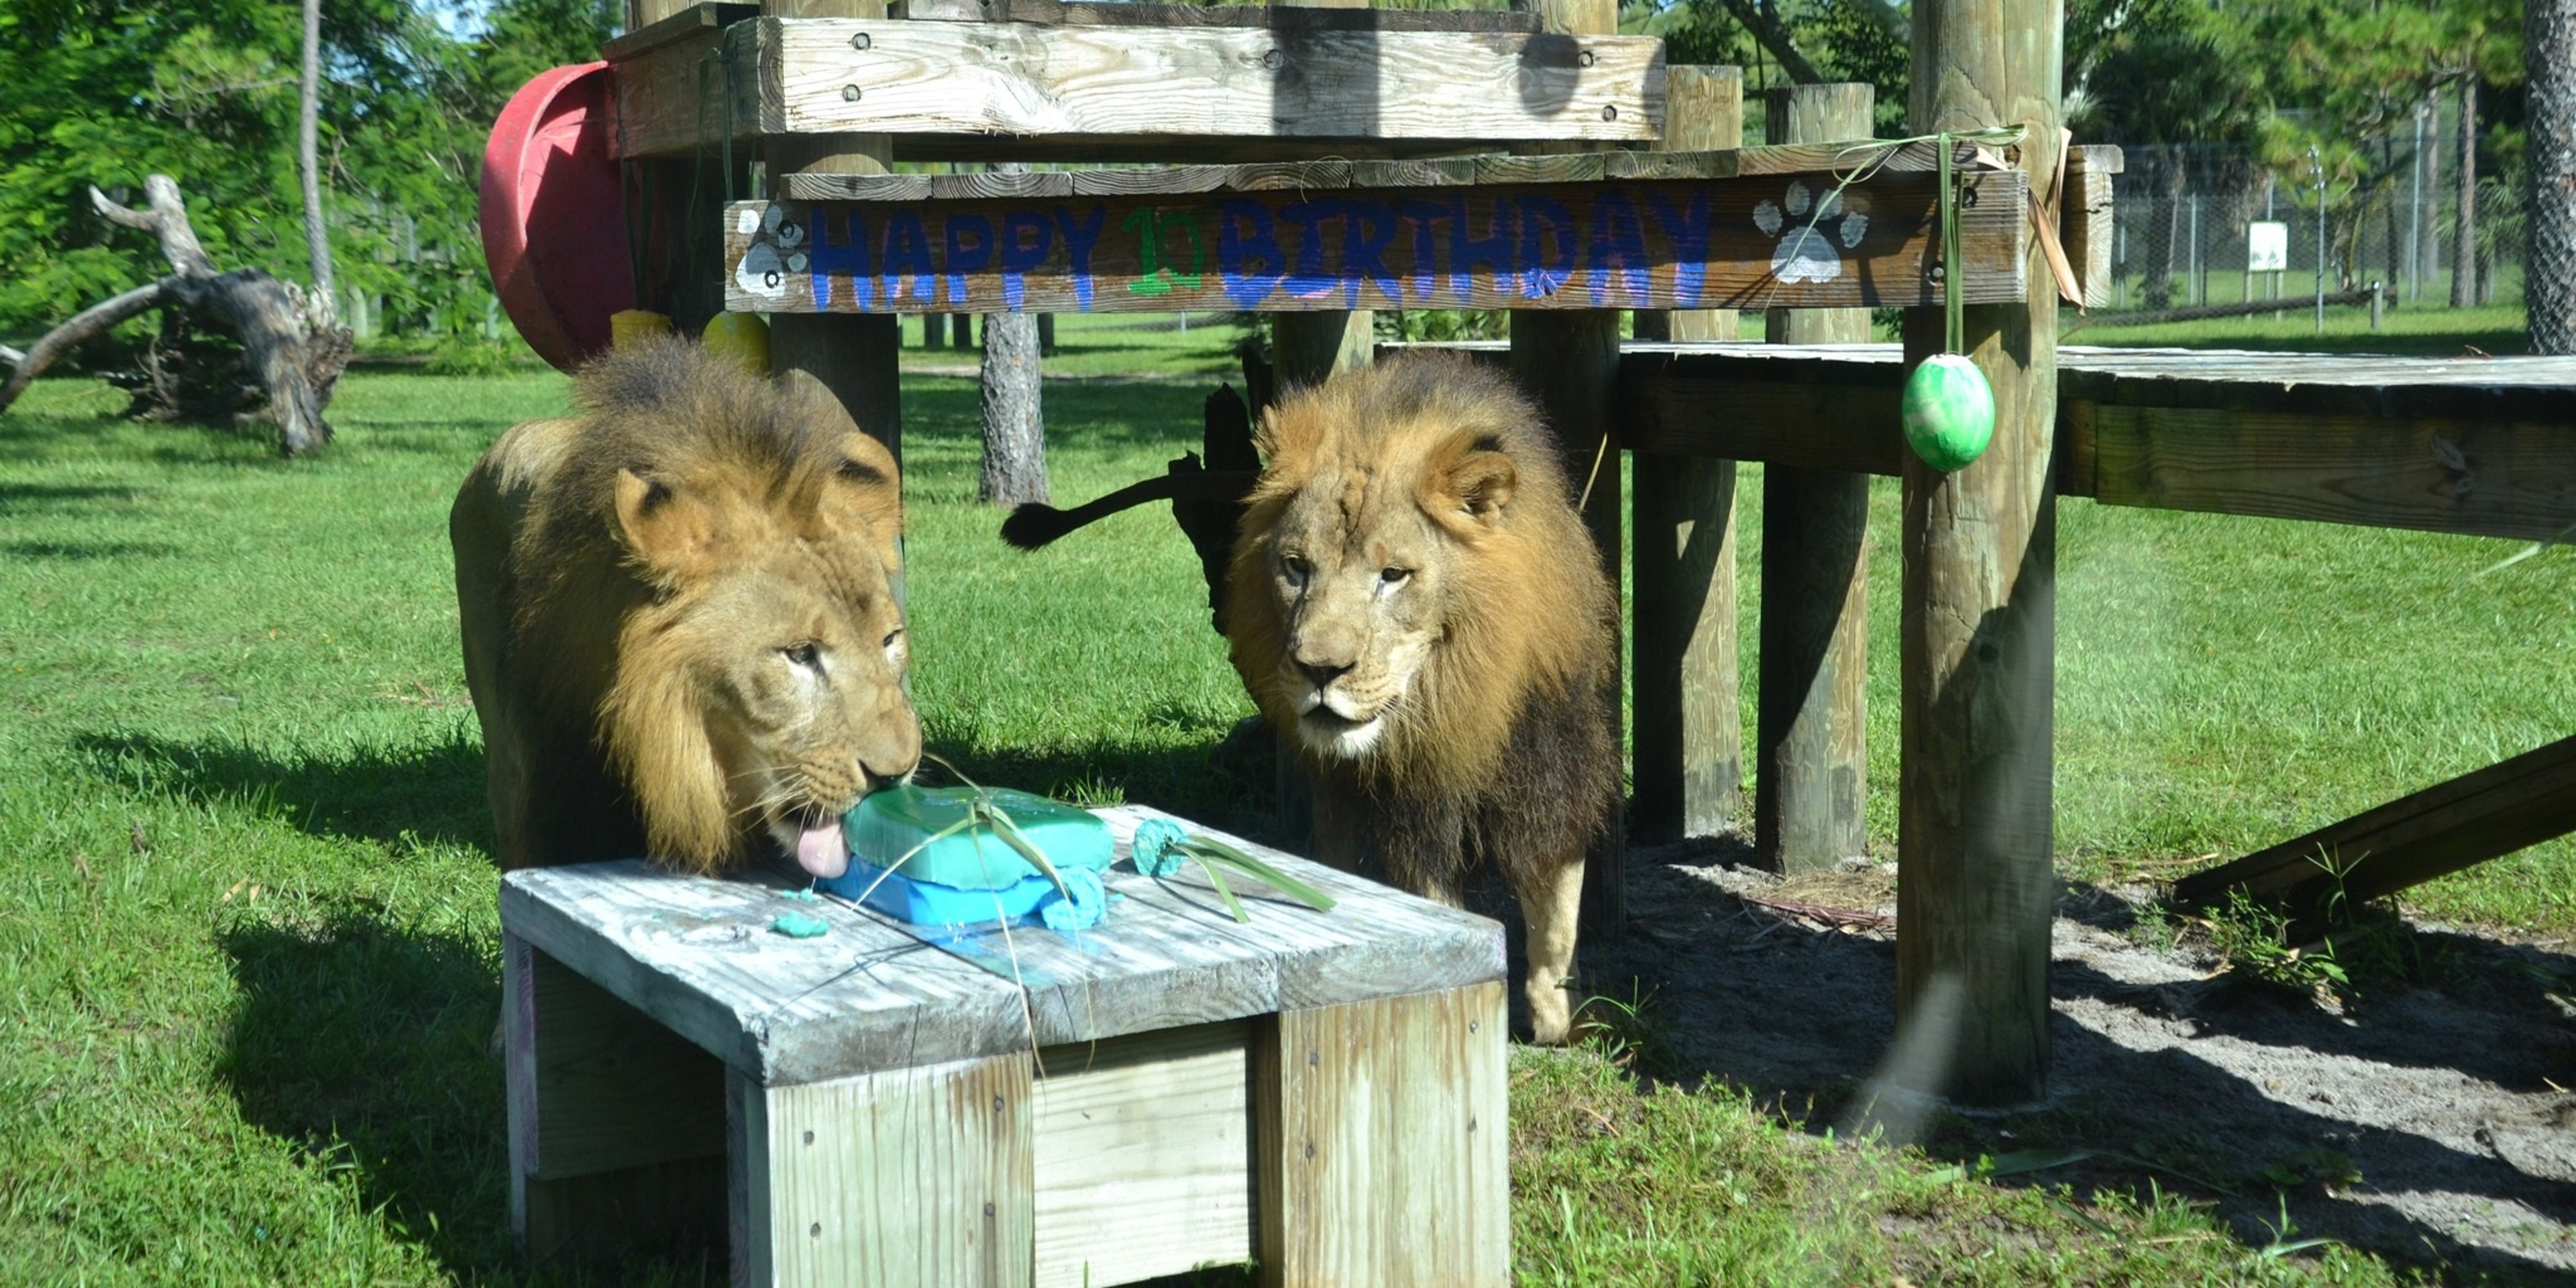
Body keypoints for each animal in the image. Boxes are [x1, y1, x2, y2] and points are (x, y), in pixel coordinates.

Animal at [1223, 351, 1619, 1044]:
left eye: (1394, 576)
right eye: (1296, 566)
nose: (1319, 670)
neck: (1458, 700)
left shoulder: (1550, 767)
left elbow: (1556, 902)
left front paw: (1553, 1013)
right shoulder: (1412, 802)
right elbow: (1437, 906)